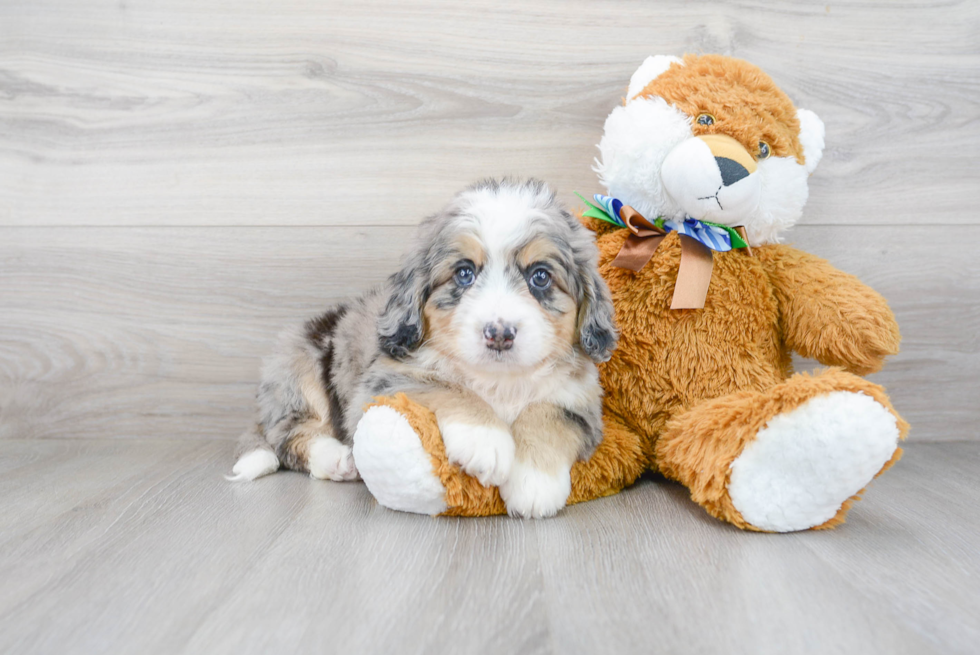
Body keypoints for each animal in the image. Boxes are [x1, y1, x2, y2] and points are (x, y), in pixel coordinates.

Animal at [228, 178, 620, 516]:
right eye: (464, 273)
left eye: (540, 276)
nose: (499, 333)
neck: (498, 380)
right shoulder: (385, 378)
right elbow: (447, 387)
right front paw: (487, 442)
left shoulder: (580, 400)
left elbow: (548, 416)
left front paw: (534, 483)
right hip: (299, 365)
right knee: (288, 433)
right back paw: (337, 459)